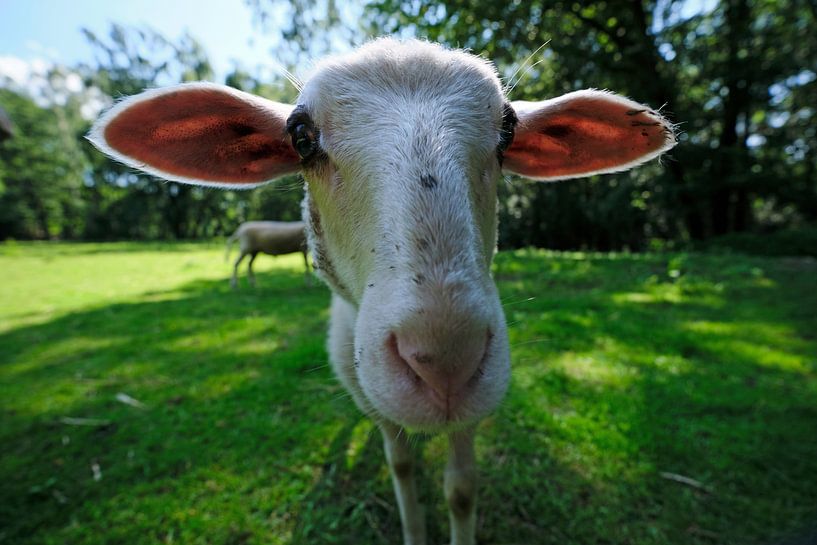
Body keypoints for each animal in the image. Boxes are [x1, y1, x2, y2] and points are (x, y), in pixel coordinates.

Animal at [87, 39, 676, 544]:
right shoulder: (375, 398)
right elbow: (402, 466)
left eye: (508, 130)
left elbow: (462, 490)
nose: (445, 361)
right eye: (301, 136)